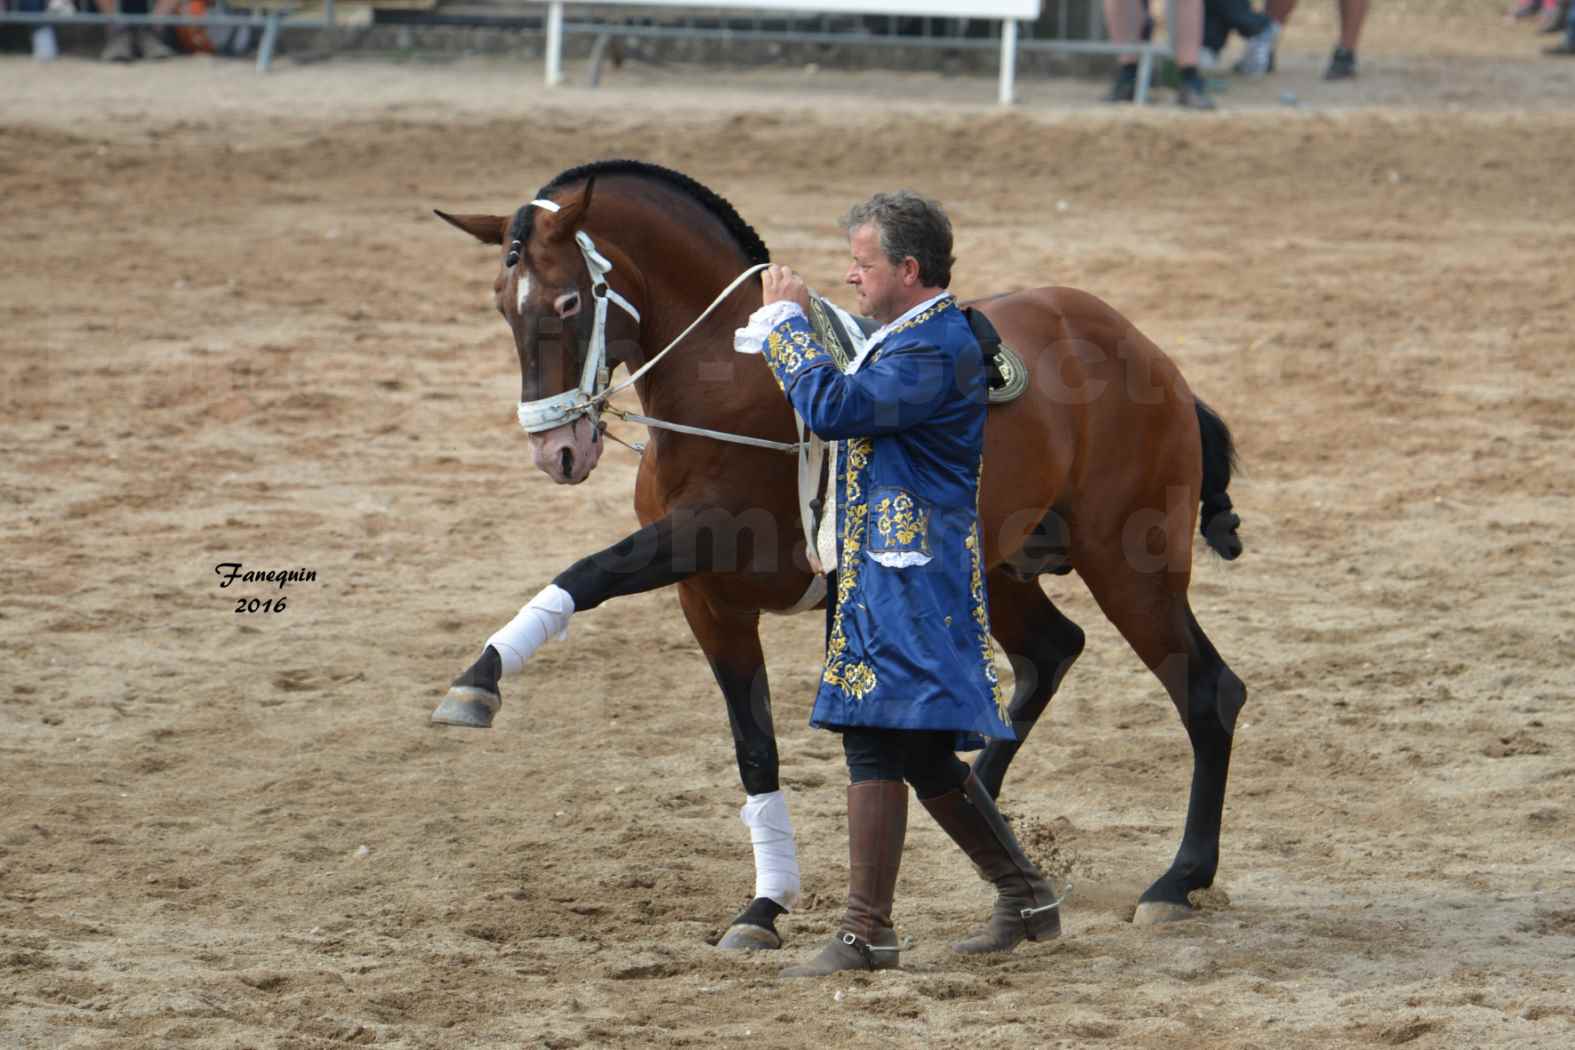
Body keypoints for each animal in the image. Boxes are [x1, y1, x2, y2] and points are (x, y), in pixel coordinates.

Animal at [428, 160, 1241, 950]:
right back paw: (993, 818)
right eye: (501, 304)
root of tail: (1143, 350)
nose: (557, 450)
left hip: (1131, 568)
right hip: (1001, 569)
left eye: (568, 302)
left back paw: (1177, 882)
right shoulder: (709, 599)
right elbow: (754, 750)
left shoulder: (699, 538)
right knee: (1050, 652)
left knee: (1207, 692)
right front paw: (764, 907)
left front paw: (477, 682)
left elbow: (585, 572)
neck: (736, 384)